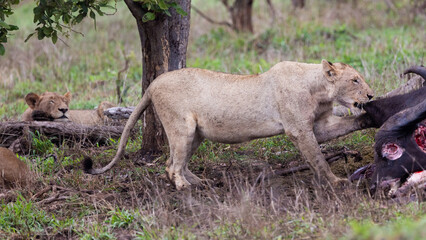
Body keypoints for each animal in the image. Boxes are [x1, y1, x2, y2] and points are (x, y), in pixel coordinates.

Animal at [85, 59, 374, 189]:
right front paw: (335, 181)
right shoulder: (299, 129)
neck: (319, 90)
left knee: (178, 161)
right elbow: (317, 157)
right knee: (171, 165)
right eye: (355, 80)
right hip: (181, 126)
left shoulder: (319, 125)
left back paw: (199, 182)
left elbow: (341, 129)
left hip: (196, 133)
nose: (371, 95)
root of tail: (153, 83)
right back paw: (185, 188)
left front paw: (370, 117)